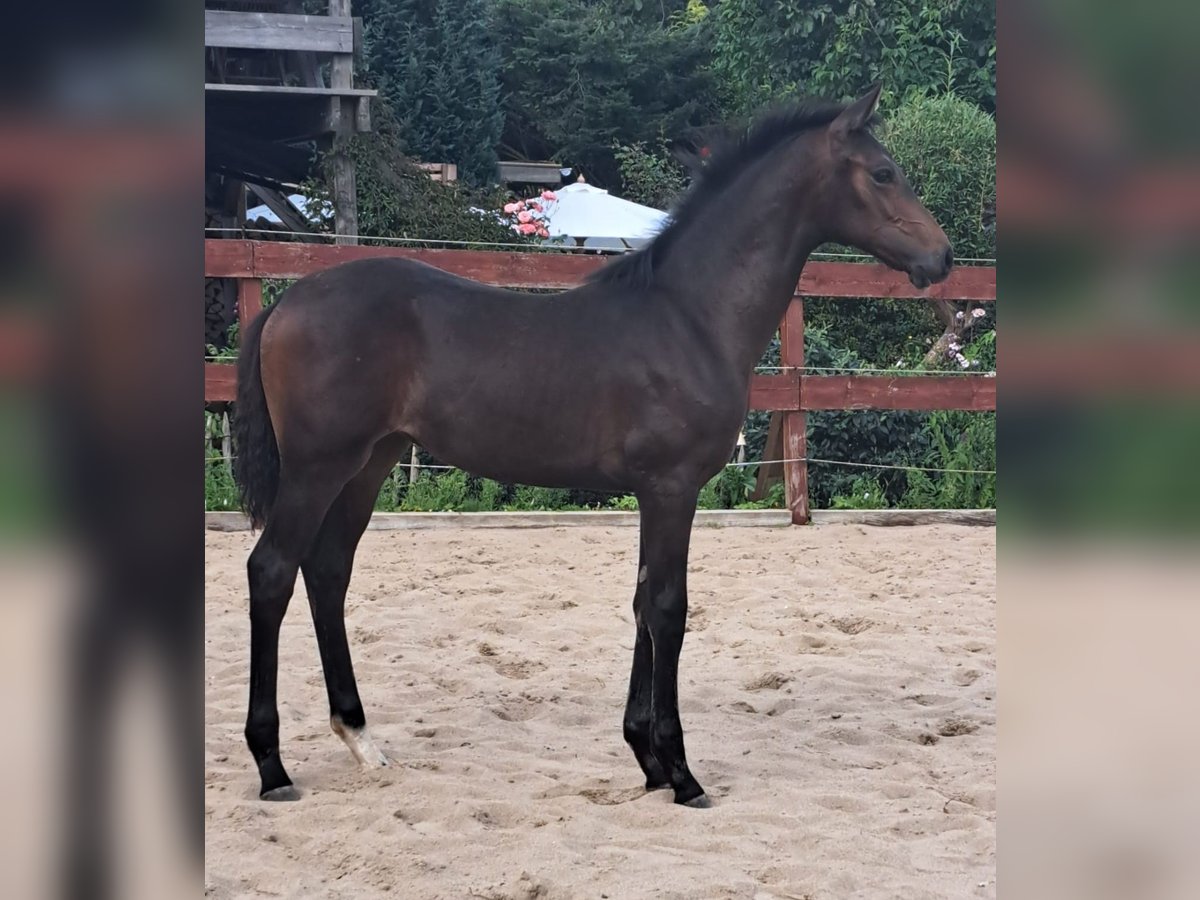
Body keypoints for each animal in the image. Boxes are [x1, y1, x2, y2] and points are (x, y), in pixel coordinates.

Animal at [231, 86, 945, 811]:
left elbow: (641, 602)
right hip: (319, 467)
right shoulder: (672, 487)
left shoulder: (653, 492)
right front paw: (681, 772)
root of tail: (287, 303)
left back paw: (360, 737)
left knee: (327, 571)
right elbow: (668, 608)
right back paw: (272, 765)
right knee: (272, 570)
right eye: (883, 173)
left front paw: (646, 758)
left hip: (369, 465)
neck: (689, 317)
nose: (940, 257)